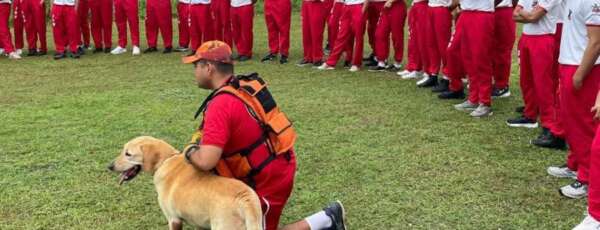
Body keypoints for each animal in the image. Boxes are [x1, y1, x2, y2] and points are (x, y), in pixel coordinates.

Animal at [109, 137, 264, 230]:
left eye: (128, 154)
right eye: (123, 151)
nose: (109, 166)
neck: (166, 160)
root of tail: (244, 197)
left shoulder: (173, 219)